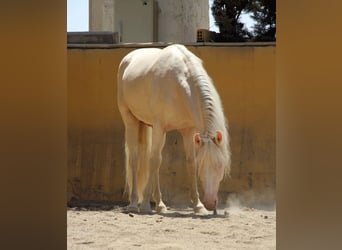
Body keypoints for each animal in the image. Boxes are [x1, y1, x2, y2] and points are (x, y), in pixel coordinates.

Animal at [116, 44, 231, 214]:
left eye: (219, 166)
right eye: (203, 166)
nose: (211, 203)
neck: (179, 83)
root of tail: (128, 58)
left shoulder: (188, 130)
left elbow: (190, 163)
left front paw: (198, 206)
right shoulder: (159, 127)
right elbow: (154, 161)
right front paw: (146, 205)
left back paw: (156, 204)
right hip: (130, 120)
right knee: (136, 160)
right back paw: (134, 202)